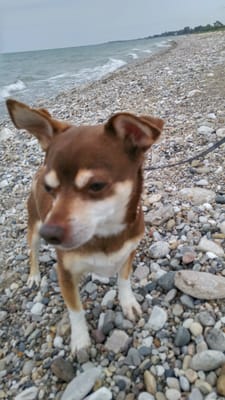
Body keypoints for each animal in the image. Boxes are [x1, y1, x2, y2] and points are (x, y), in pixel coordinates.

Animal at [5, 98, 163, 354]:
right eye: (49, 189)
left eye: (96, 185)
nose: (50, 234)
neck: (106, 235)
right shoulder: (66, 273)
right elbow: (75, 310)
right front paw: (80, 341)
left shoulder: (129, 253)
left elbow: (124, 280)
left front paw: (127, 302)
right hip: (34, 227)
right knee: (33, 252)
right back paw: (34, 275)